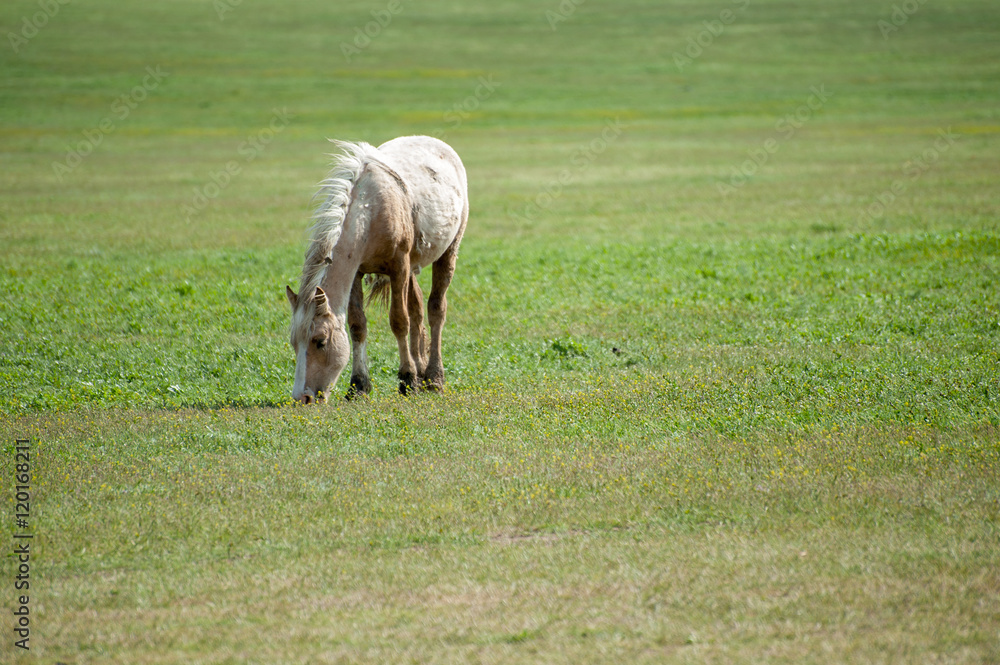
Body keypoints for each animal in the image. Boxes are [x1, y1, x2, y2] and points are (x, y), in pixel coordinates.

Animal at [285, 135, 469, 403]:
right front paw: (359, 385)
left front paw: (407, 379)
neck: (369, 210)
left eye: (320, 341)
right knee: (417, 311)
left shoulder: (399, 268)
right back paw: (422, 370)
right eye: (294, 343)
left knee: (435, 310)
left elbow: (399, 321)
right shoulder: (358, 273)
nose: (302, 398)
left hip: (447, 254)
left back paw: (434, 377)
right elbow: (357, 325)